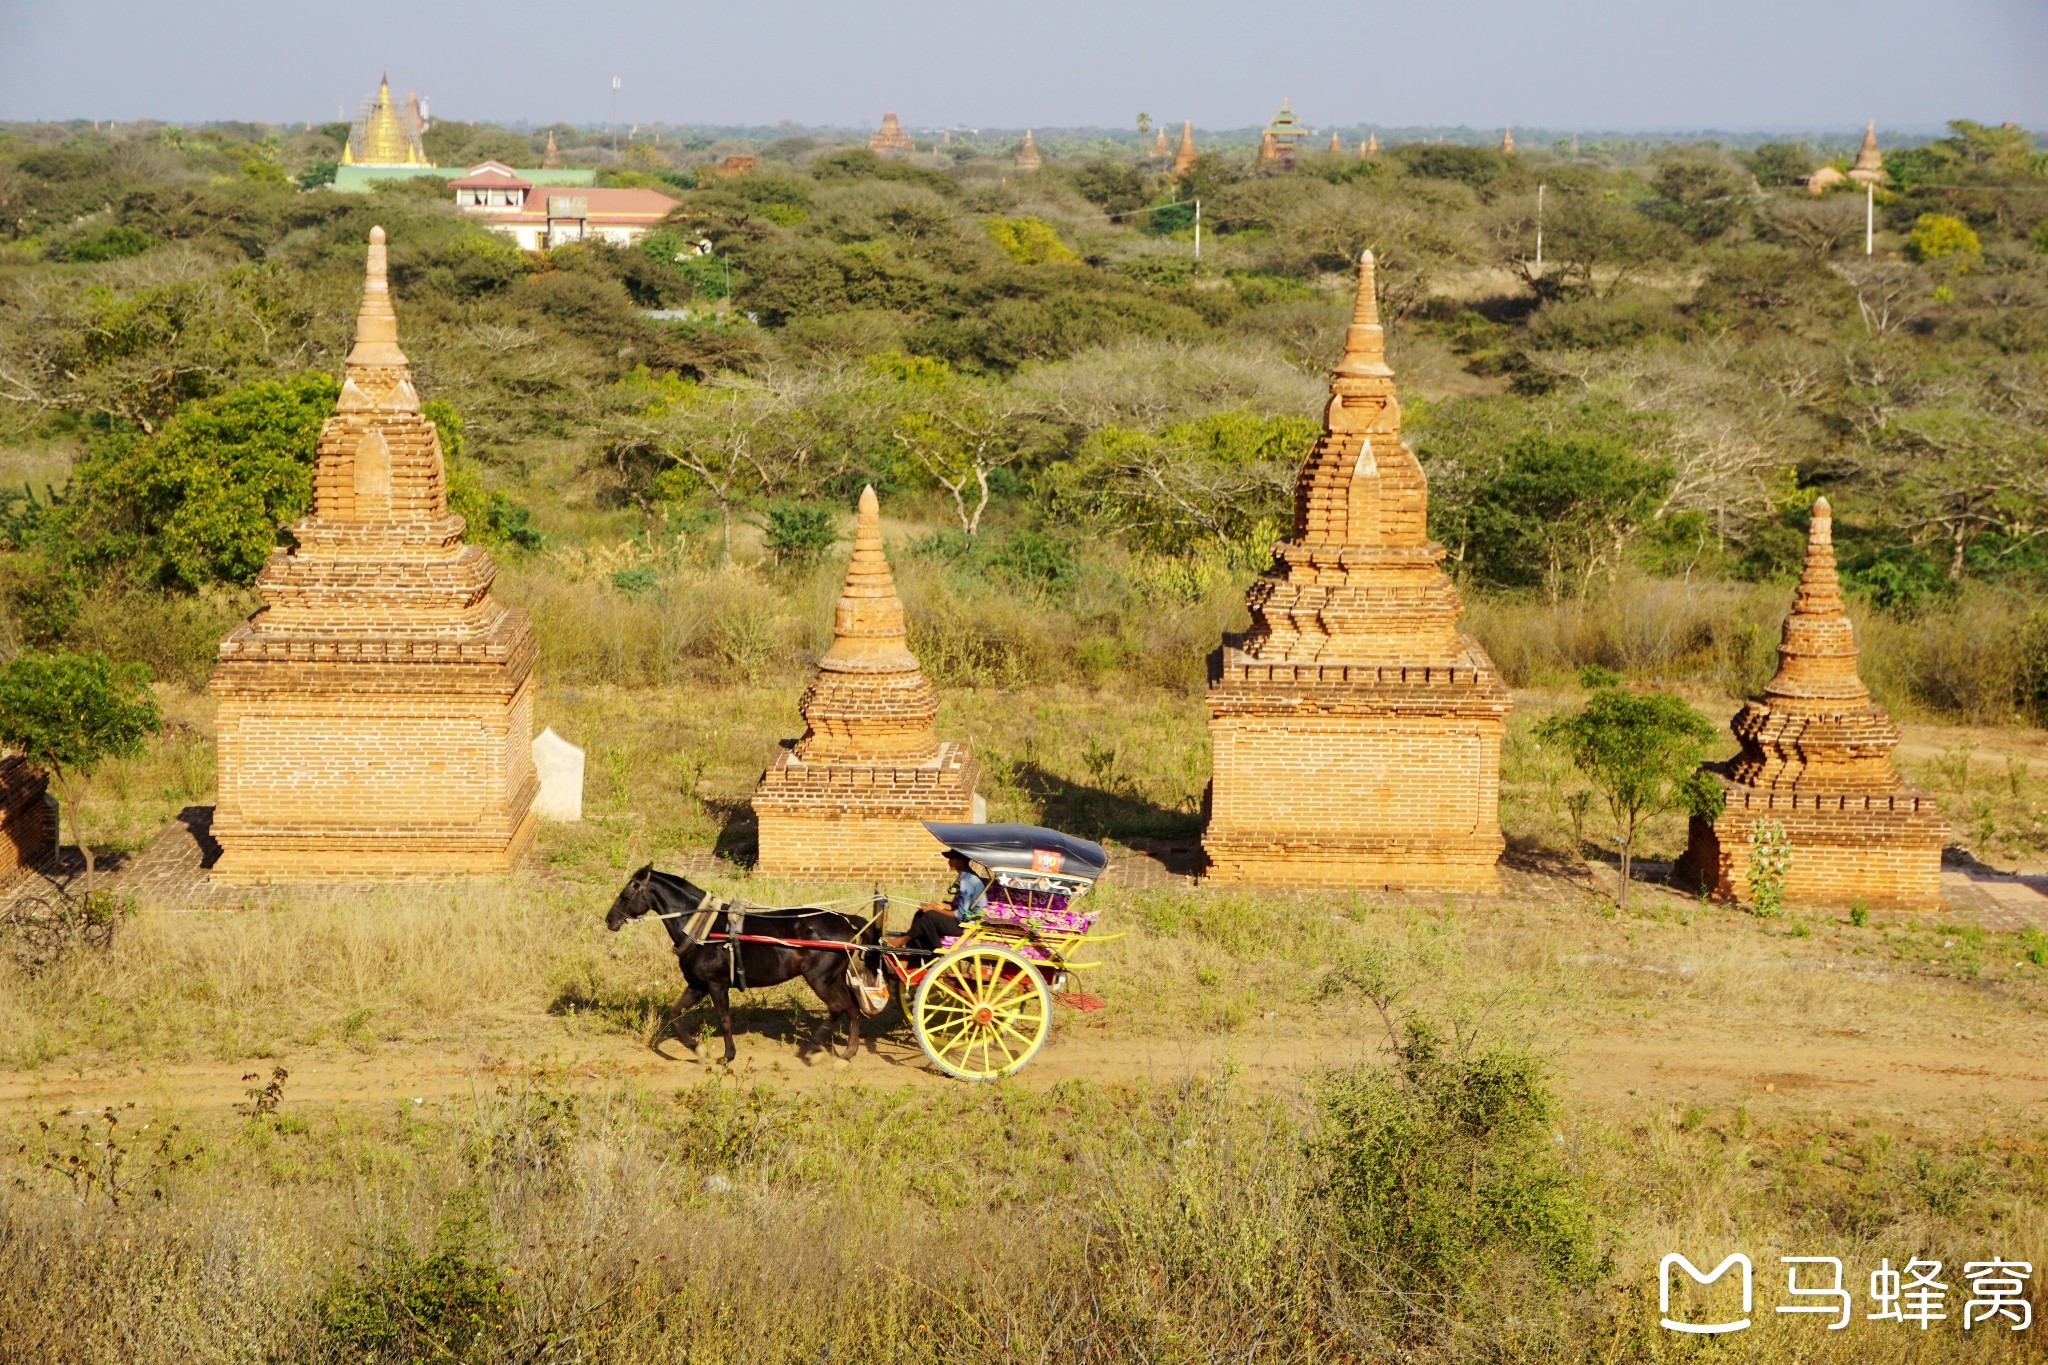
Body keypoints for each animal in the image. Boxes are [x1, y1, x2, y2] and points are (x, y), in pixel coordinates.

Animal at [598, 863, 876, 1064]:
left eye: (626, 893)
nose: (609, 920)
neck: (703, 929)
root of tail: (845, 919)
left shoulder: (716, 985)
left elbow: (724, 1020)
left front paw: (727, 1055)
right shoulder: (697, 985)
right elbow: (674, 1014)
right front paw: (698, 1048)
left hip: (820, 978)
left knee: (838, 1007)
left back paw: (814, 1049)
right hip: (834, 977)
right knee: (852, 1008)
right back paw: (848, 1052)